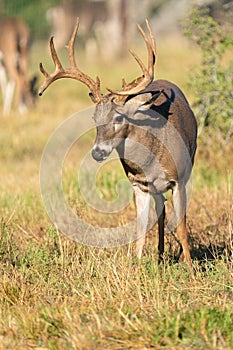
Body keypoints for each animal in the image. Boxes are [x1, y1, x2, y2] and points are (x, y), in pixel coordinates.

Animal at [39, 18, 198, 266]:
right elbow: (140, 230)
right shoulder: (139, 185)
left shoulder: (177, 179)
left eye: (118, 117)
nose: (97, 152)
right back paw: (160, 255)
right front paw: (138, 265)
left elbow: (181, 226)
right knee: (160, 212)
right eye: (94, 118)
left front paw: (190, 268)